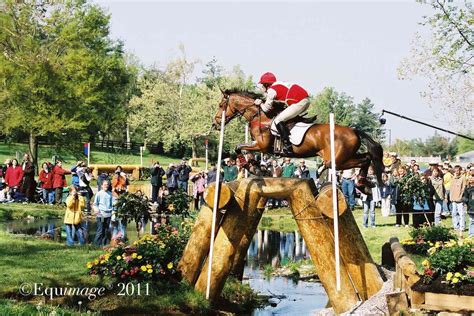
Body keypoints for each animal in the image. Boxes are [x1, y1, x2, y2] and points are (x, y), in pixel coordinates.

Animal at [212, 88, 386, 185]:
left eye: (221, 105)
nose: (215, 124)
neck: (261, 117)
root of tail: (354, 131)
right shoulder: (259, 145)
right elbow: (243, 148)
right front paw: (255, 166)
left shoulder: (262, 146)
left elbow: (239, 147)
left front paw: (251, 166)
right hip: (345, 156)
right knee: (367, 156)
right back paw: (363, 184)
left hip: (336, 161)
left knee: (365, 159)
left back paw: (361, 184)